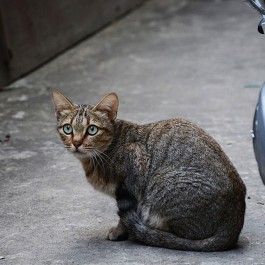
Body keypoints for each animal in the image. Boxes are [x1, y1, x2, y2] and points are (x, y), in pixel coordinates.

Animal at [50, 89, 244, 251]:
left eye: (92, 129)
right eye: (68, 128)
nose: (76, 142)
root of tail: (233, 225)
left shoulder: (134, 166)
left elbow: (124, 216)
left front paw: (119, 232)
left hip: (161, 187)